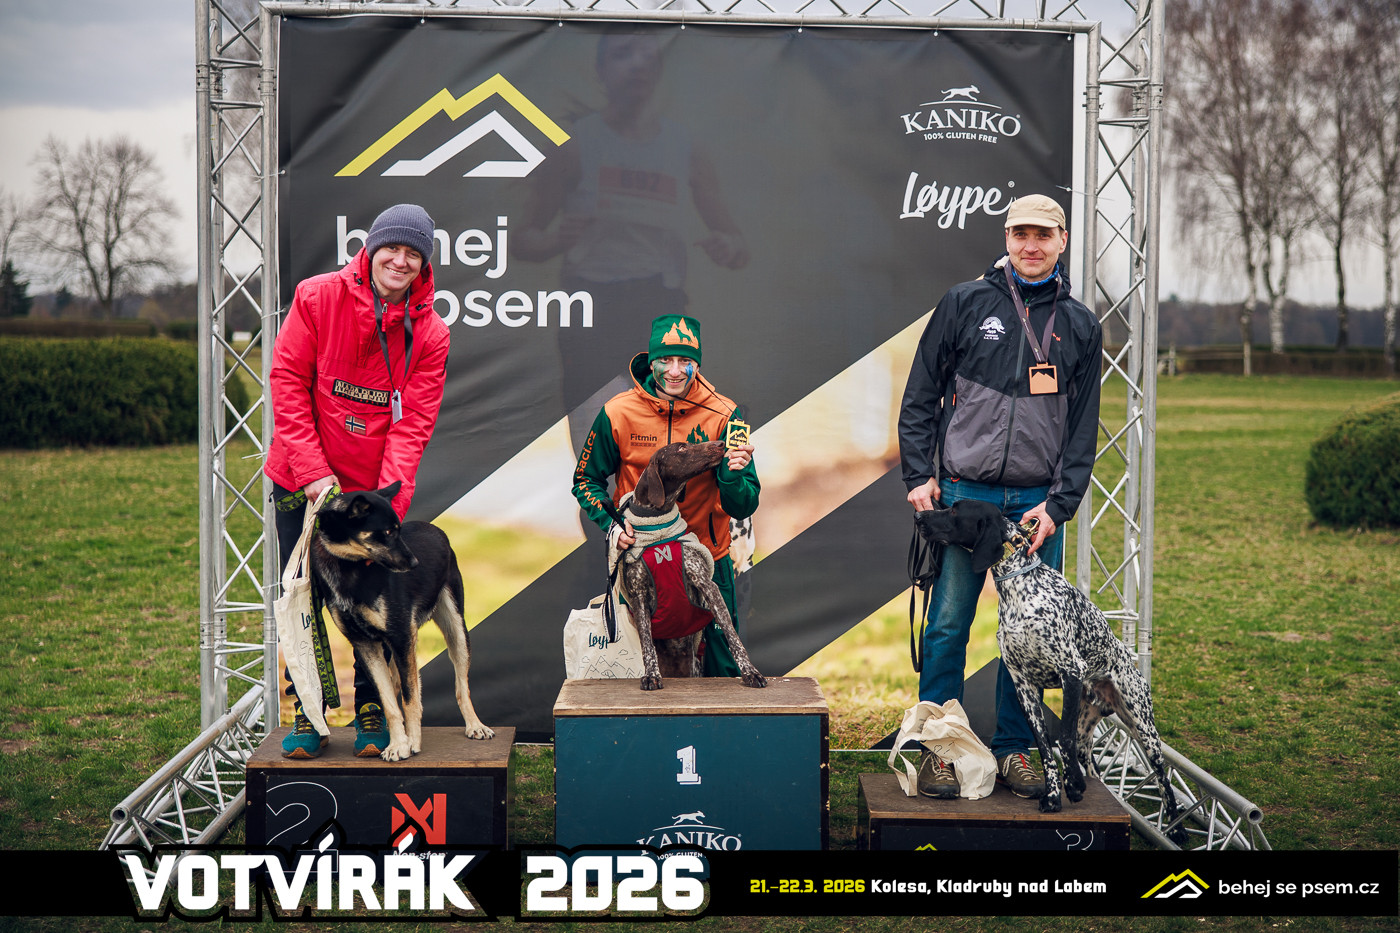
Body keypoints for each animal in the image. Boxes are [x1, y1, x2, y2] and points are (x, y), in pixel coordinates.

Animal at [310, 482, 493, 761]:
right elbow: (389, 703)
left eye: (398, 529)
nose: (415, 563)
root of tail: (436, 530)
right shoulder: (365, 644)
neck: (350, 567)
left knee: (462, 686)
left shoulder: (401, 636)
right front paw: (398, 743)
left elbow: (410, 699)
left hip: (456, 631)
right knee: (398, 684)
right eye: (386, 532)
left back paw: (475, 725)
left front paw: (412, 743)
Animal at [915, 499, 1189, 845]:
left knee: (1163, 779)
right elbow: (1046, 748)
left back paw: (1176, 827)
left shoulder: (1070, 671)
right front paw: (1055, 795)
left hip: (1143, 727)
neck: (1019, 590)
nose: (918, 515)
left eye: (954, 510)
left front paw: (1073, 787)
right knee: (1089, 760)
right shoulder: (1024, 686)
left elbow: (1063, 739)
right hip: (1091, 730)